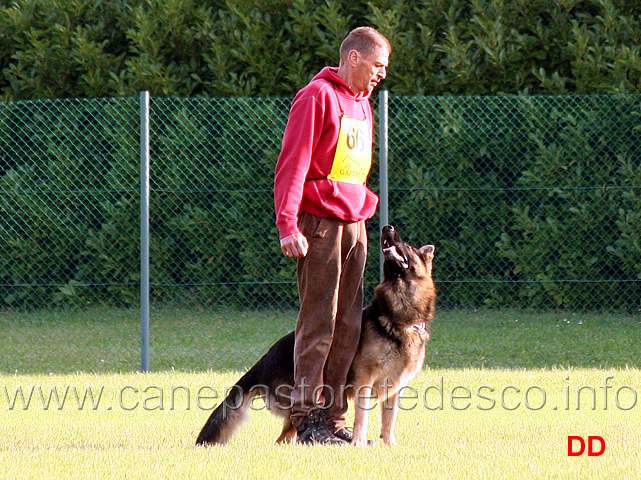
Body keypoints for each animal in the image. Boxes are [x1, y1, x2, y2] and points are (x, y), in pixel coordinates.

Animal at [195, 225, 436, 446]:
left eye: (409, 246)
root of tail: (262, 362)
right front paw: (358, 442)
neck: (397, 316)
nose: (387, 227)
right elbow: (362, 417)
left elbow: (389, 421)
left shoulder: (395, 388)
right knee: (285, 436)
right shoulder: (364, 382)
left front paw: (389, 445)